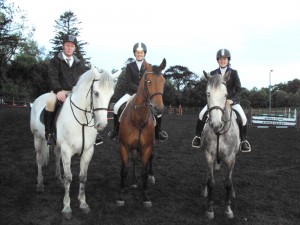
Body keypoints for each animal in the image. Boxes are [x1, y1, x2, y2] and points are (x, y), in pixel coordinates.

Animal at [30, 67, 114, 218]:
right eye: (96, 93)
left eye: (111, 95)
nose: (102, 125)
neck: (82, 120)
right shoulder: (67, 150)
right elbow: (69, 177)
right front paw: (67, 207)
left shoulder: (88, 151)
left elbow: (83, 177)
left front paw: (83, 203)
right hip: (38, 138)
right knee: (39, 159)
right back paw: (40, 184)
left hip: (57, 145)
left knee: (56, 157)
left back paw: (59, 180)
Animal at [116, 58, 166, 207]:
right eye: (148, 80)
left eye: (163, 81)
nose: (158, 109)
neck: (138, 118)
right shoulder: (124, 146)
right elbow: (124, 170)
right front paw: (121, 195)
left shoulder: (147, 147)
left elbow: (144, 171)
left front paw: (145, 196)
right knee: (133, 159)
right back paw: (133, 182)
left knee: (150, 159)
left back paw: (151, 176)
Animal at [200, 71, 240, 220]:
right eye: (208, 93)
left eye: (226, 94)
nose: (216, 124)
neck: (219, 132)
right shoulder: (208, 155)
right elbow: (211, 182)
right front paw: (210, 210)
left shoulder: (231, 158)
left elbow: (228, 182)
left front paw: (228, 210)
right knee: (207, 172)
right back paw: (204, 190)